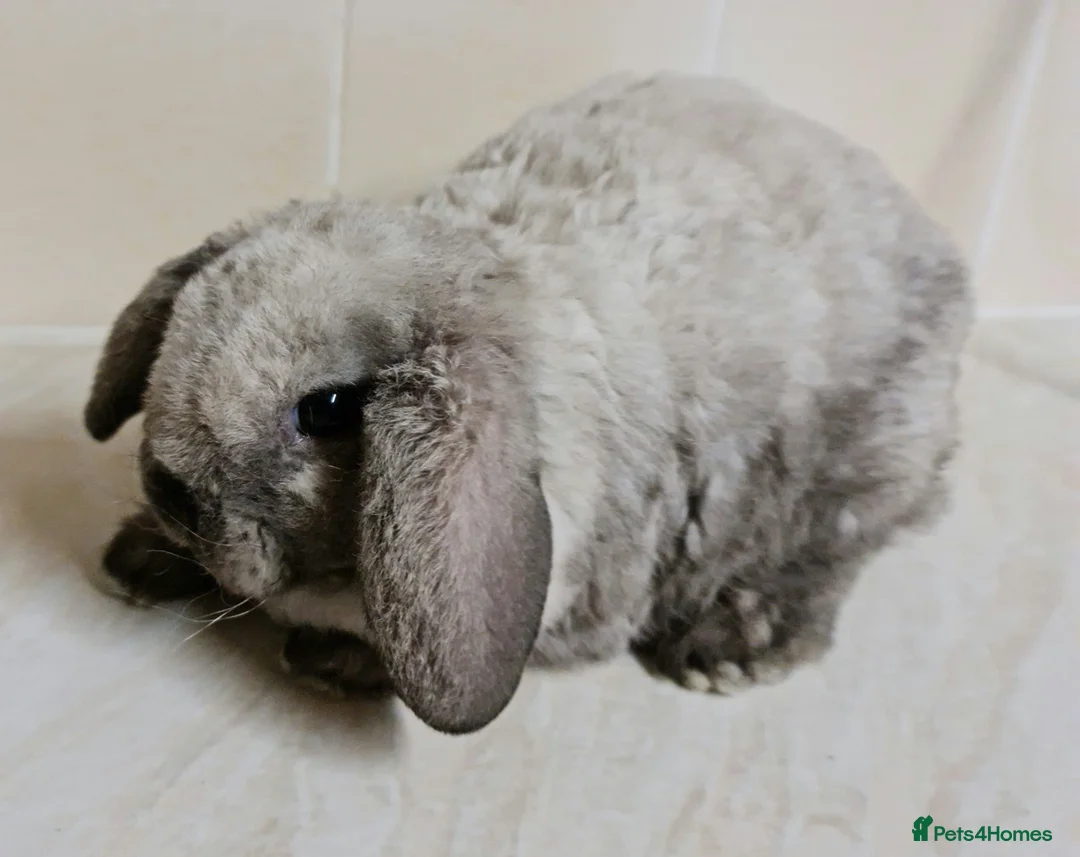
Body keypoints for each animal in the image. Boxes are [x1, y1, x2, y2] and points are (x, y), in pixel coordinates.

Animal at [84, 72, 972, 735]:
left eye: (329, 408)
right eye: (186, 309)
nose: (169, 489)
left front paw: (329, 661)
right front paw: (139, 556)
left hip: (852, 469)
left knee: (827, 557)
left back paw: (725, 648)